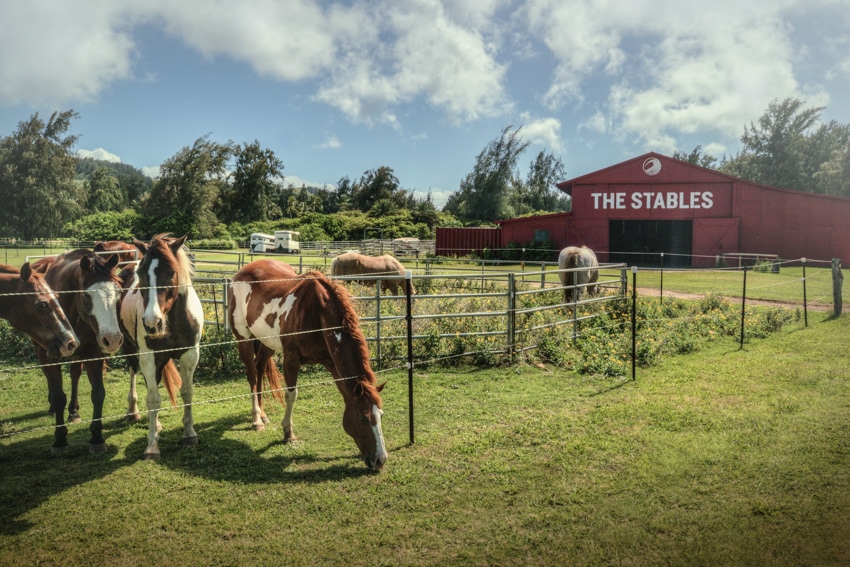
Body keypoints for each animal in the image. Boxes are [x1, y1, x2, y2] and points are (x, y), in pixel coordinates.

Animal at [118, 235, 203, 462]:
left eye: (171, 272)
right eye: (141, 273)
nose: (151, 323)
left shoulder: (190, 354)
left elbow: (187, 392)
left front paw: (189, 434)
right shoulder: (149, 356)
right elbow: (153, 399)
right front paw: (152, 446)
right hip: (133, 350)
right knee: (135, 375)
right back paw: (134, 411)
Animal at [225, 260, 384, 470]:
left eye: (380, 415)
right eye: (363, 418)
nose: (381, 459)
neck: (318, 313)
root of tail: (242, 272)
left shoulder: (331, 362)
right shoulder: (291, 359)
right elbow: (291, 395)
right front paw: (288, 433)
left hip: (267, 342)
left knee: (259, 370)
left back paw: (263, 414)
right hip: (244, 339)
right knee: (252, 374)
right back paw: (256, 419)